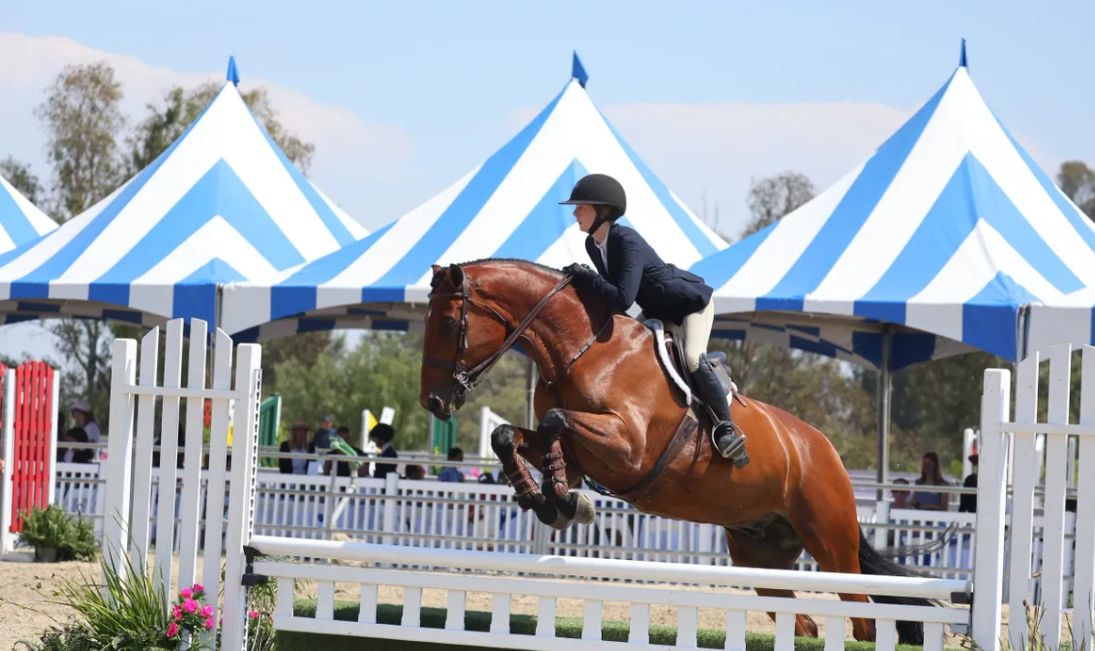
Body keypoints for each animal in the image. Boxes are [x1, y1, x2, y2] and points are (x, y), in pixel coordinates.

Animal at [419, 259, 930, 644]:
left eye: (446, 322)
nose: (433, 403)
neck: (582, 349)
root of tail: (825, 450)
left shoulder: (629, 447)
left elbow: (555, 422)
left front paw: (562, 499)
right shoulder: (585, 452)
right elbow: (510, 436)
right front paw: (547, 498)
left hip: (832, 546)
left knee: (863, 620)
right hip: (762, 558)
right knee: (800, 622)